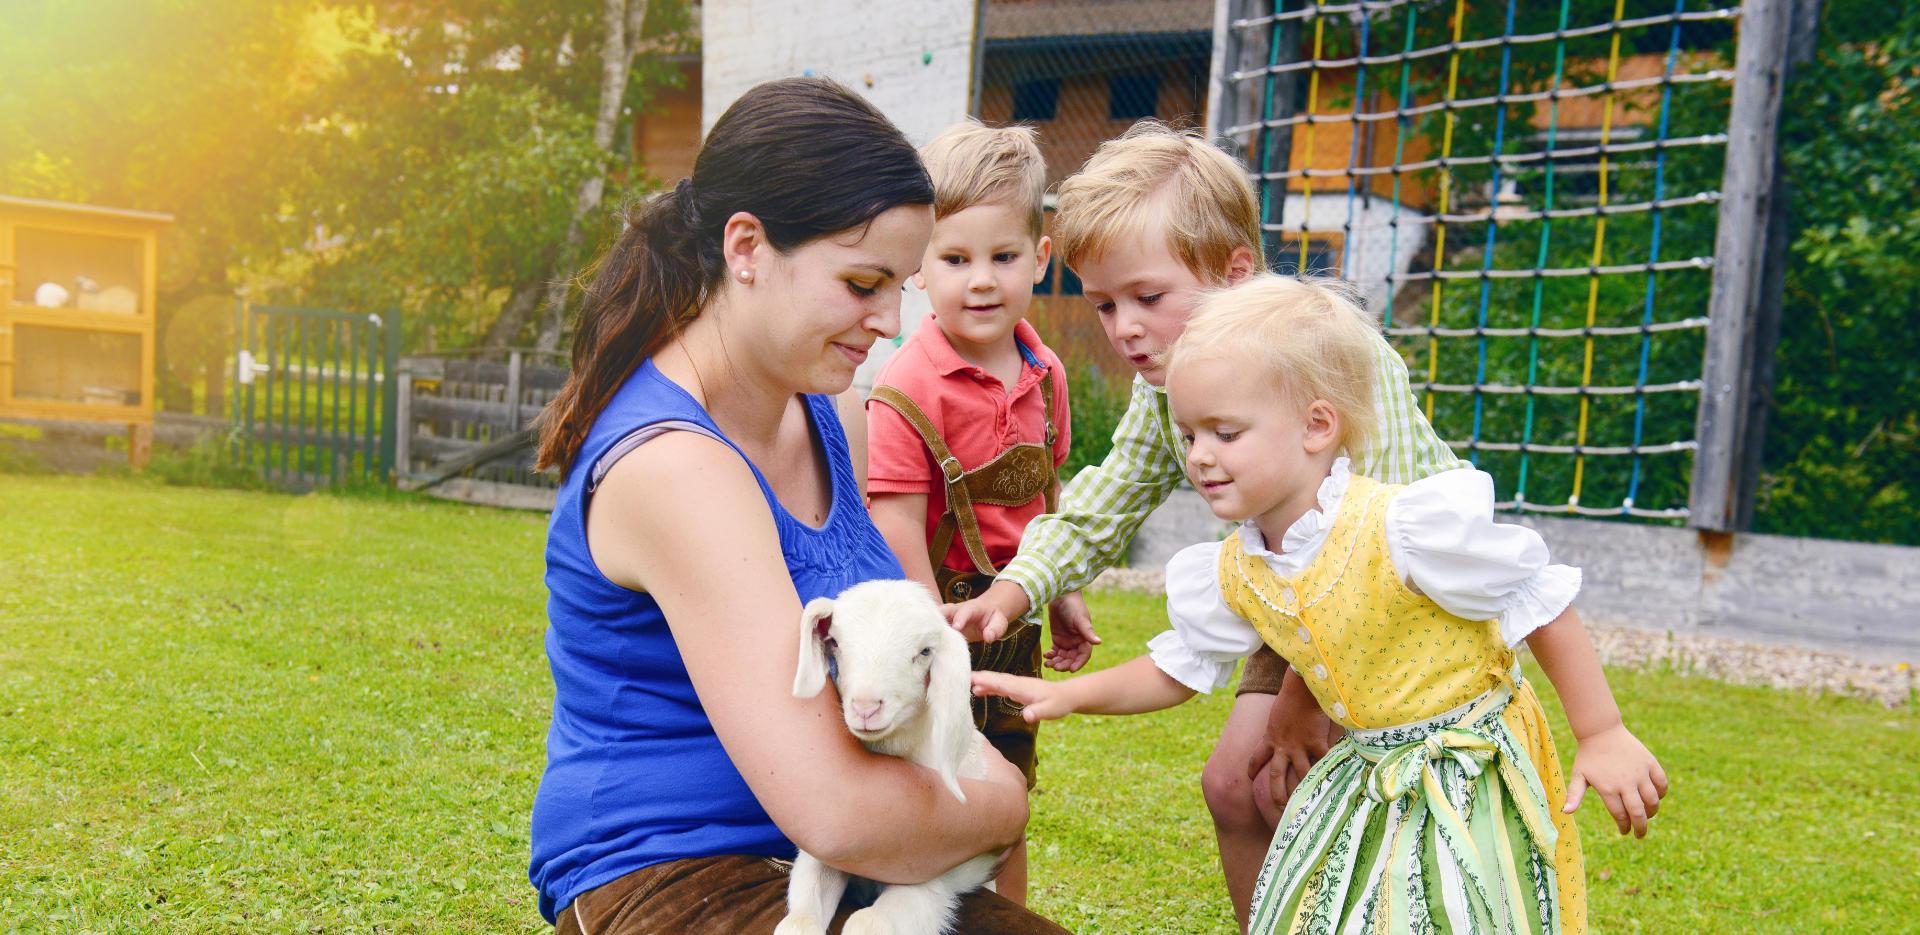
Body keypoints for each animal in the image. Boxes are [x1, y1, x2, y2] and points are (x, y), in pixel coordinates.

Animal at [771, 583, 998, 933]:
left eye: (925, 651)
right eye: (835, 642)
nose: (866, 707)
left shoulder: (927, 877)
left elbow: (868, 921)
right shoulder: (822, 857)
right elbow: (799, 919)